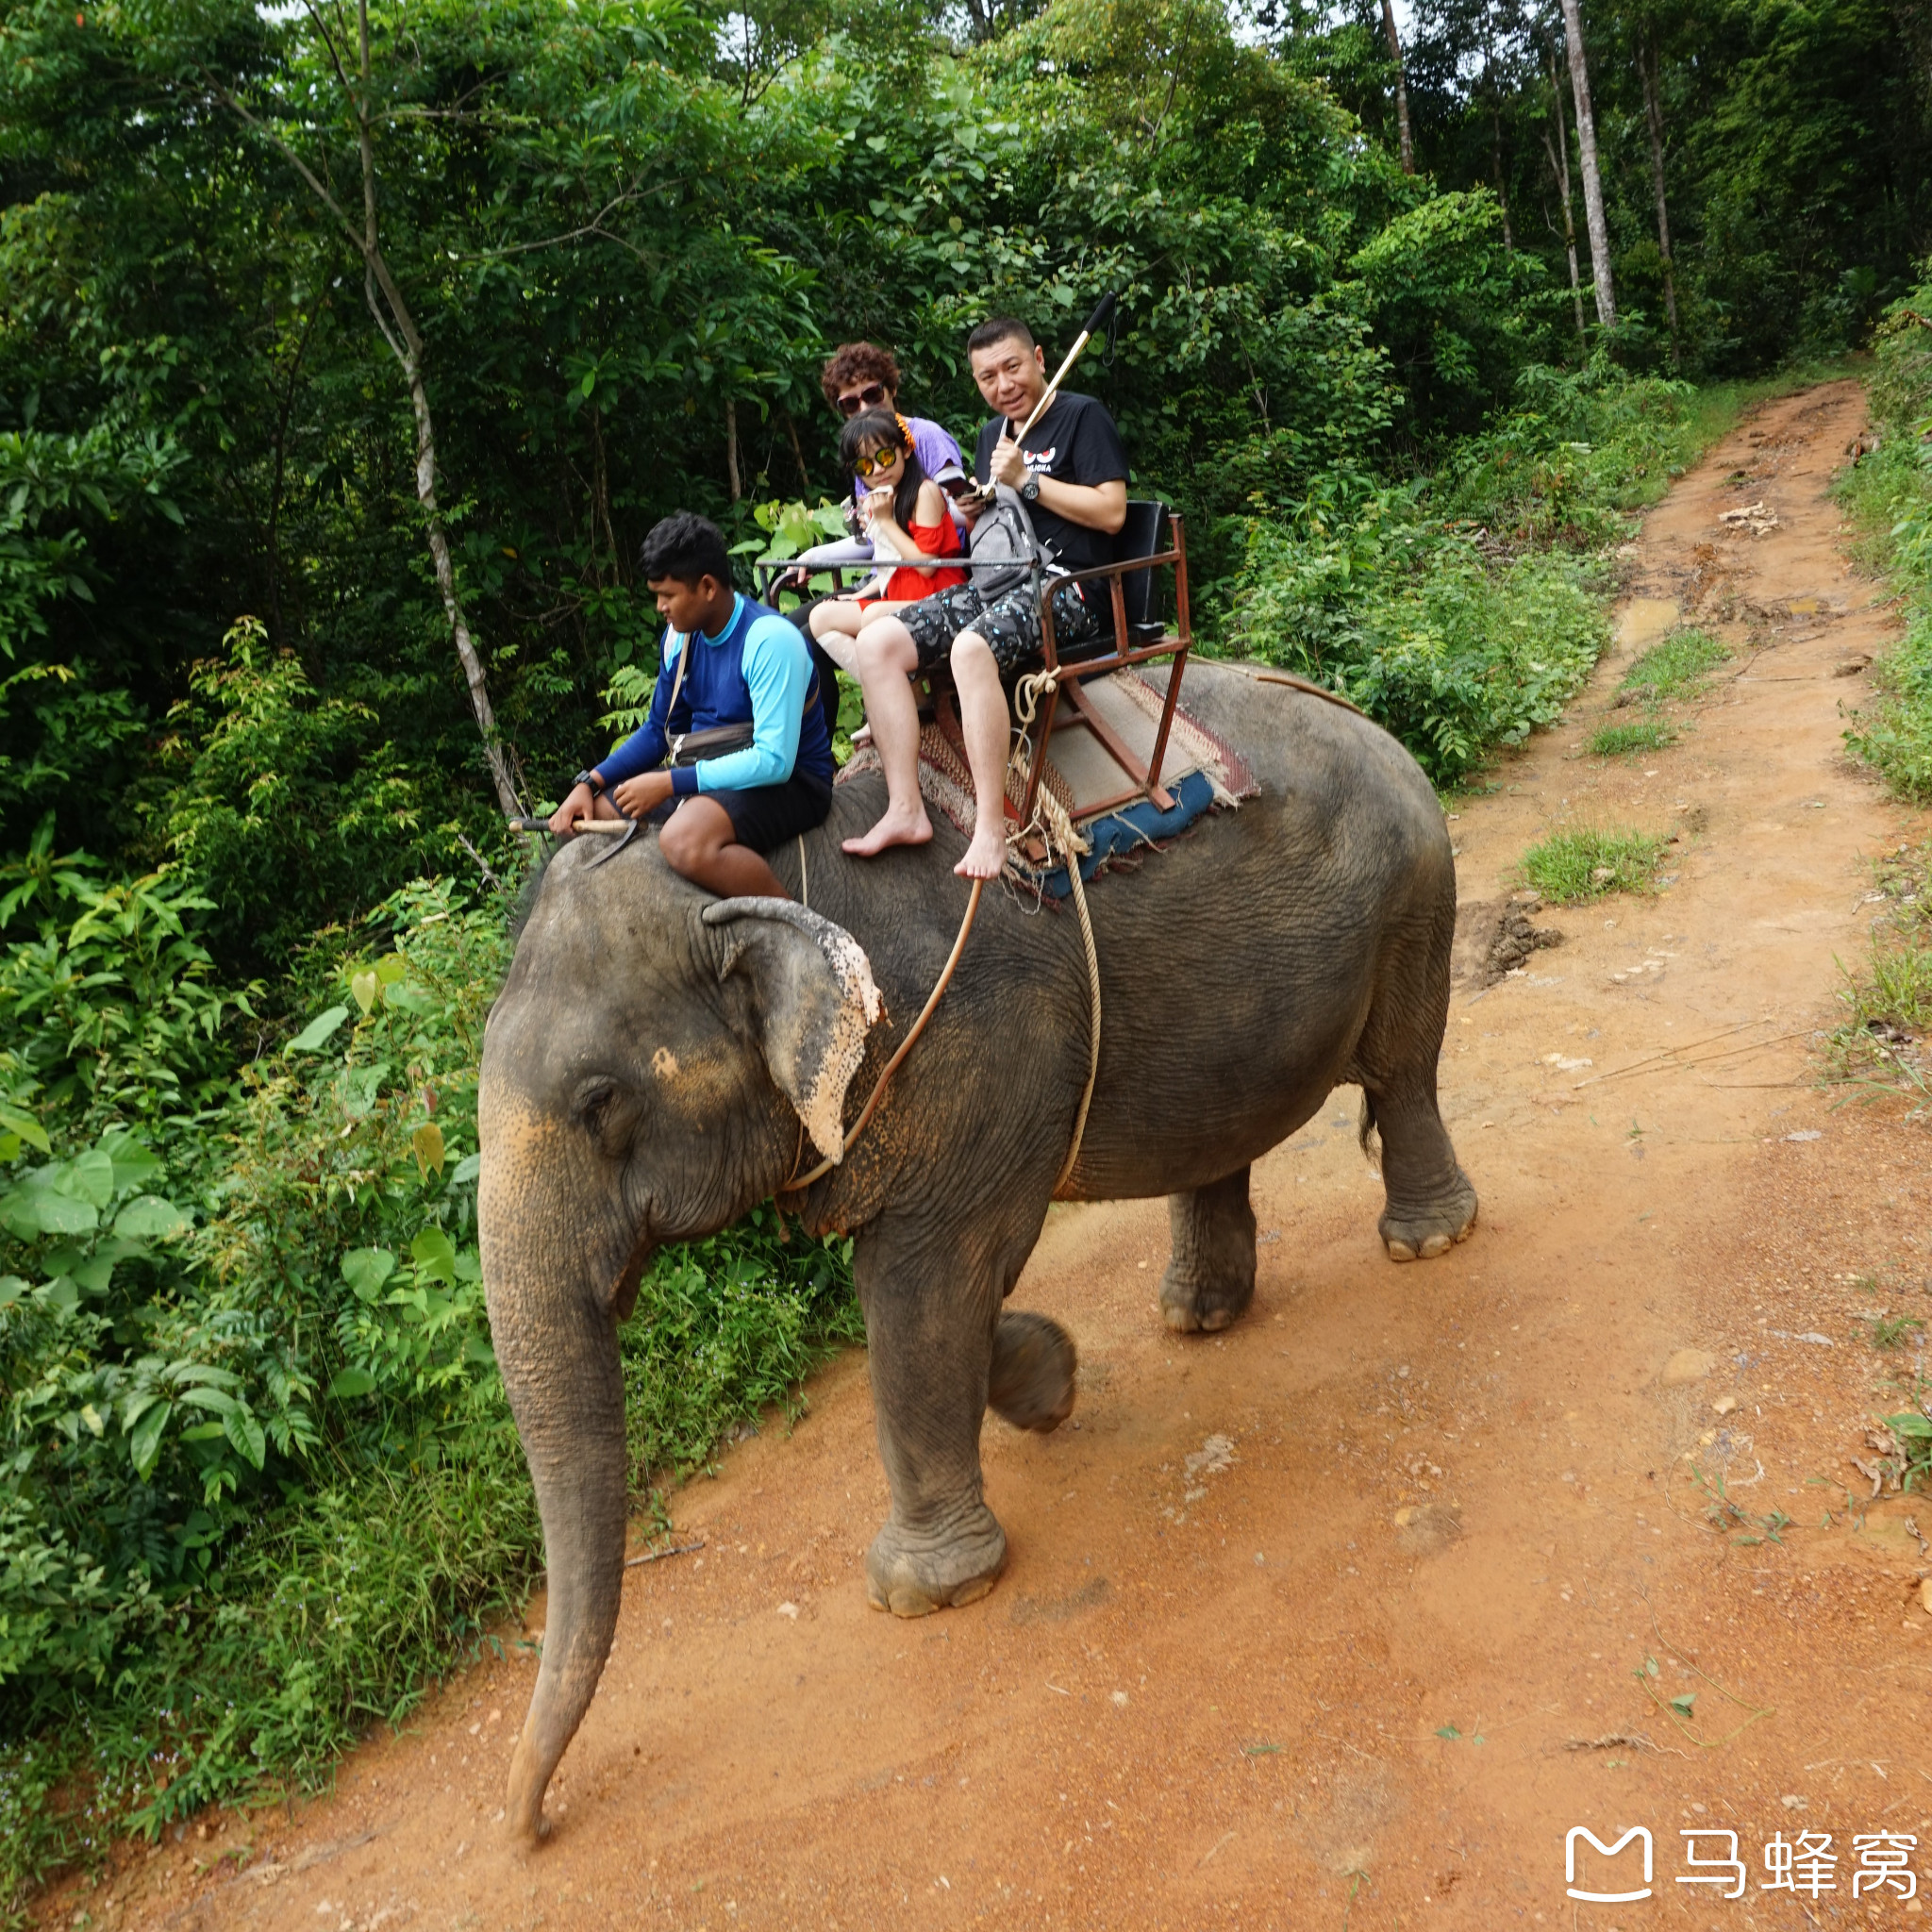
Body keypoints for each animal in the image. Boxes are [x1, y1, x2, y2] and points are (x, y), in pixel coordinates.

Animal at [483, 664, 1475, 1839]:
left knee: (1403, 1065)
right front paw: (1050, 1382)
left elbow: (922, 1275)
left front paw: (922, 1592)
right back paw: (1194, 1312)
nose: (527, 1824)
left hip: (1412, 889)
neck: (770, 875)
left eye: (600, 1102)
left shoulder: (969, 1043)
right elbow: (941, 1280)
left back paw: (1426, 1241)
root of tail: (1353, 713)